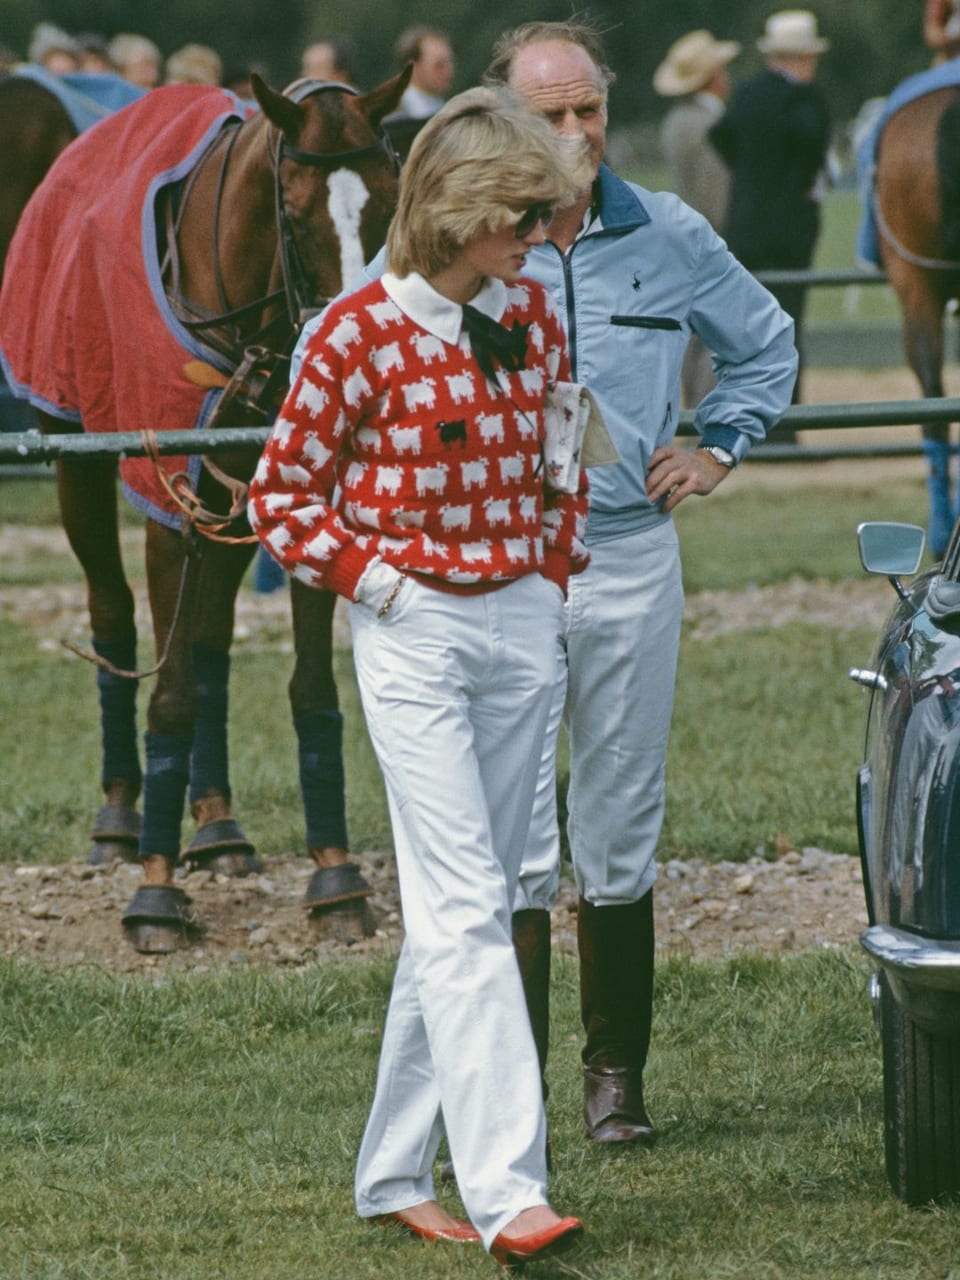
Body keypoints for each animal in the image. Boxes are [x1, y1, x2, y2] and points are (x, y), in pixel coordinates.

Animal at [0, 70, 409, 952]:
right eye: (294, 213)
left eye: (388, 203)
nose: (351, 345)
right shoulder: (167, 501)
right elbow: (172, 690)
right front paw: (155, 894)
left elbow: (307, 686)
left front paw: (335, 876)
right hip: (76, 461)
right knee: (114, 612)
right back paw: (121, 820)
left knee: (211, 633)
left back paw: (219, 827)